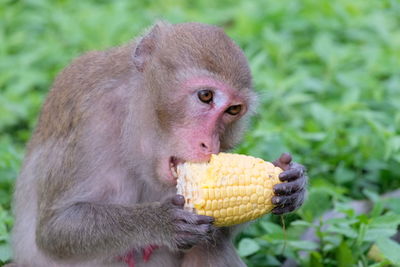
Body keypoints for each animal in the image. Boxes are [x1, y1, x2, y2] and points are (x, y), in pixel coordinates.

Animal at [10, 22, 308, 266]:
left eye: (233, 110)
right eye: (206, 96)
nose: (210, 144)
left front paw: (293, 183)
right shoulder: (89, 118)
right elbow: (54, 230)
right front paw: (160, 221)